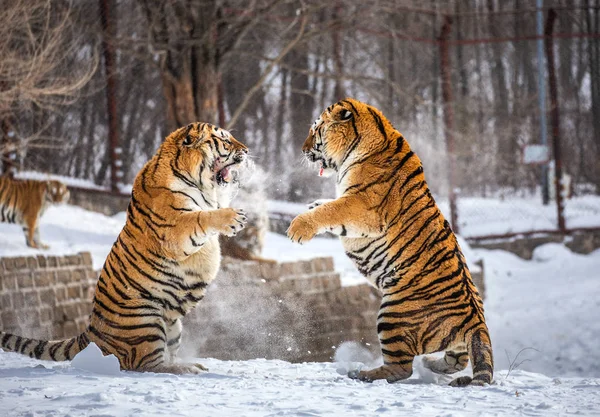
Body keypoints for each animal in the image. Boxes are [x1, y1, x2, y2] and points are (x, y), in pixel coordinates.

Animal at [0, 121, 248, 374]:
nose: (247, 150)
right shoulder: (174, 229)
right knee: (145, 364)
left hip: (172, 324)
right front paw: (233, 218)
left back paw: (186, 363)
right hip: (146, 320)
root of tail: (91, 330)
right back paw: (183, 368)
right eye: (225, 140)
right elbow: (201, 216)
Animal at [288, 98, 494, 386]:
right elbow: (327, 206)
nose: (303, 150)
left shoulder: (361, 205)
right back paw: (434, 365)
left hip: (393, 313)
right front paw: (313, 204)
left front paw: (299, 227)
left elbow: (331, 210)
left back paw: (362, 373)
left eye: (315, 130)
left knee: (401, 369)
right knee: (458, 358)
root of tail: (477, 321)